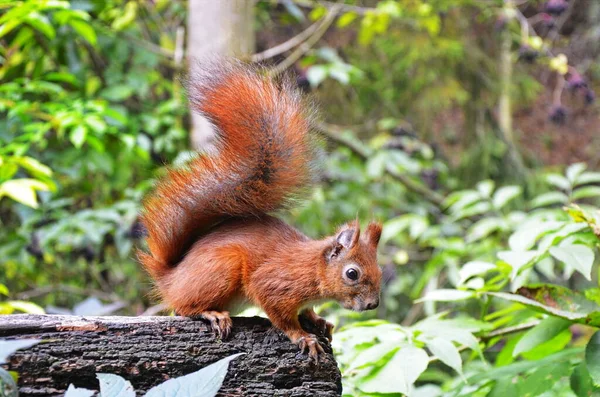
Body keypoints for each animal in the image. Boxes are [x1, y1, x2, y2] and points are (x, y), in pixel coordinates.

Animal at [138, 58, 382, 358]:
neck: (311, 268)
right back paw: (210, 313)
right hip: (222, 268)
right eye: (352, 273)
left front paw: (317, 320)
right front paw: (302, 336)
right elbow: (281, 315)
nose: (372, 304)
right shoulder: (273, 283)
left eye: (379, 269)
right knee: (183, 308)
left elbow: (307, 311)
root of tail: (171, 278)